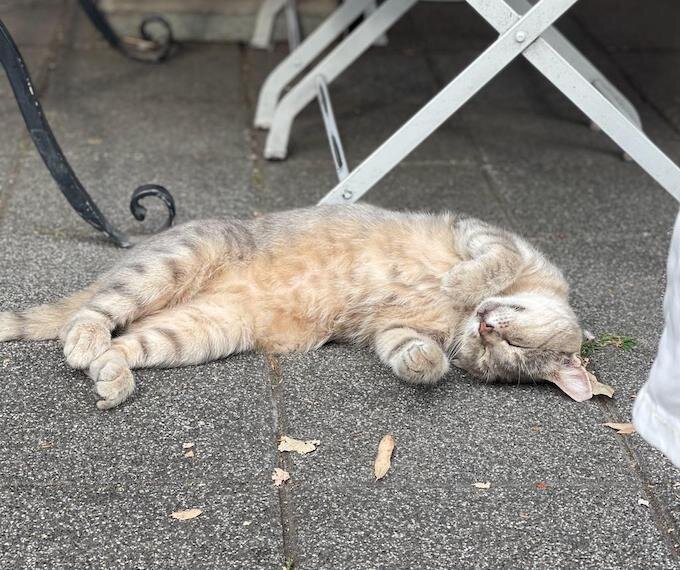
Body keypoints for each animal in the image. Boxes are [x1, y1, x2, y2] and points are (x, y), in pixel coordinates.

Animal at [0, 204, 592, 410]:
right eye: (507, 338)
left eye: (497, 355)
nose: (486, 327)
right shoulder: (483, 233)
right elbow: (490, 262)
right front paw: (460, 281)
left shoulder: (393, 329)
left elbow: (411, 352)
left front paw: (428, 363)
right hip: (174, 263)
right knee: (93, 313)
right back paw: (86, 341)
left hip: (198, 331)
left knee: (126, 341)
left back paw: (112, 376)